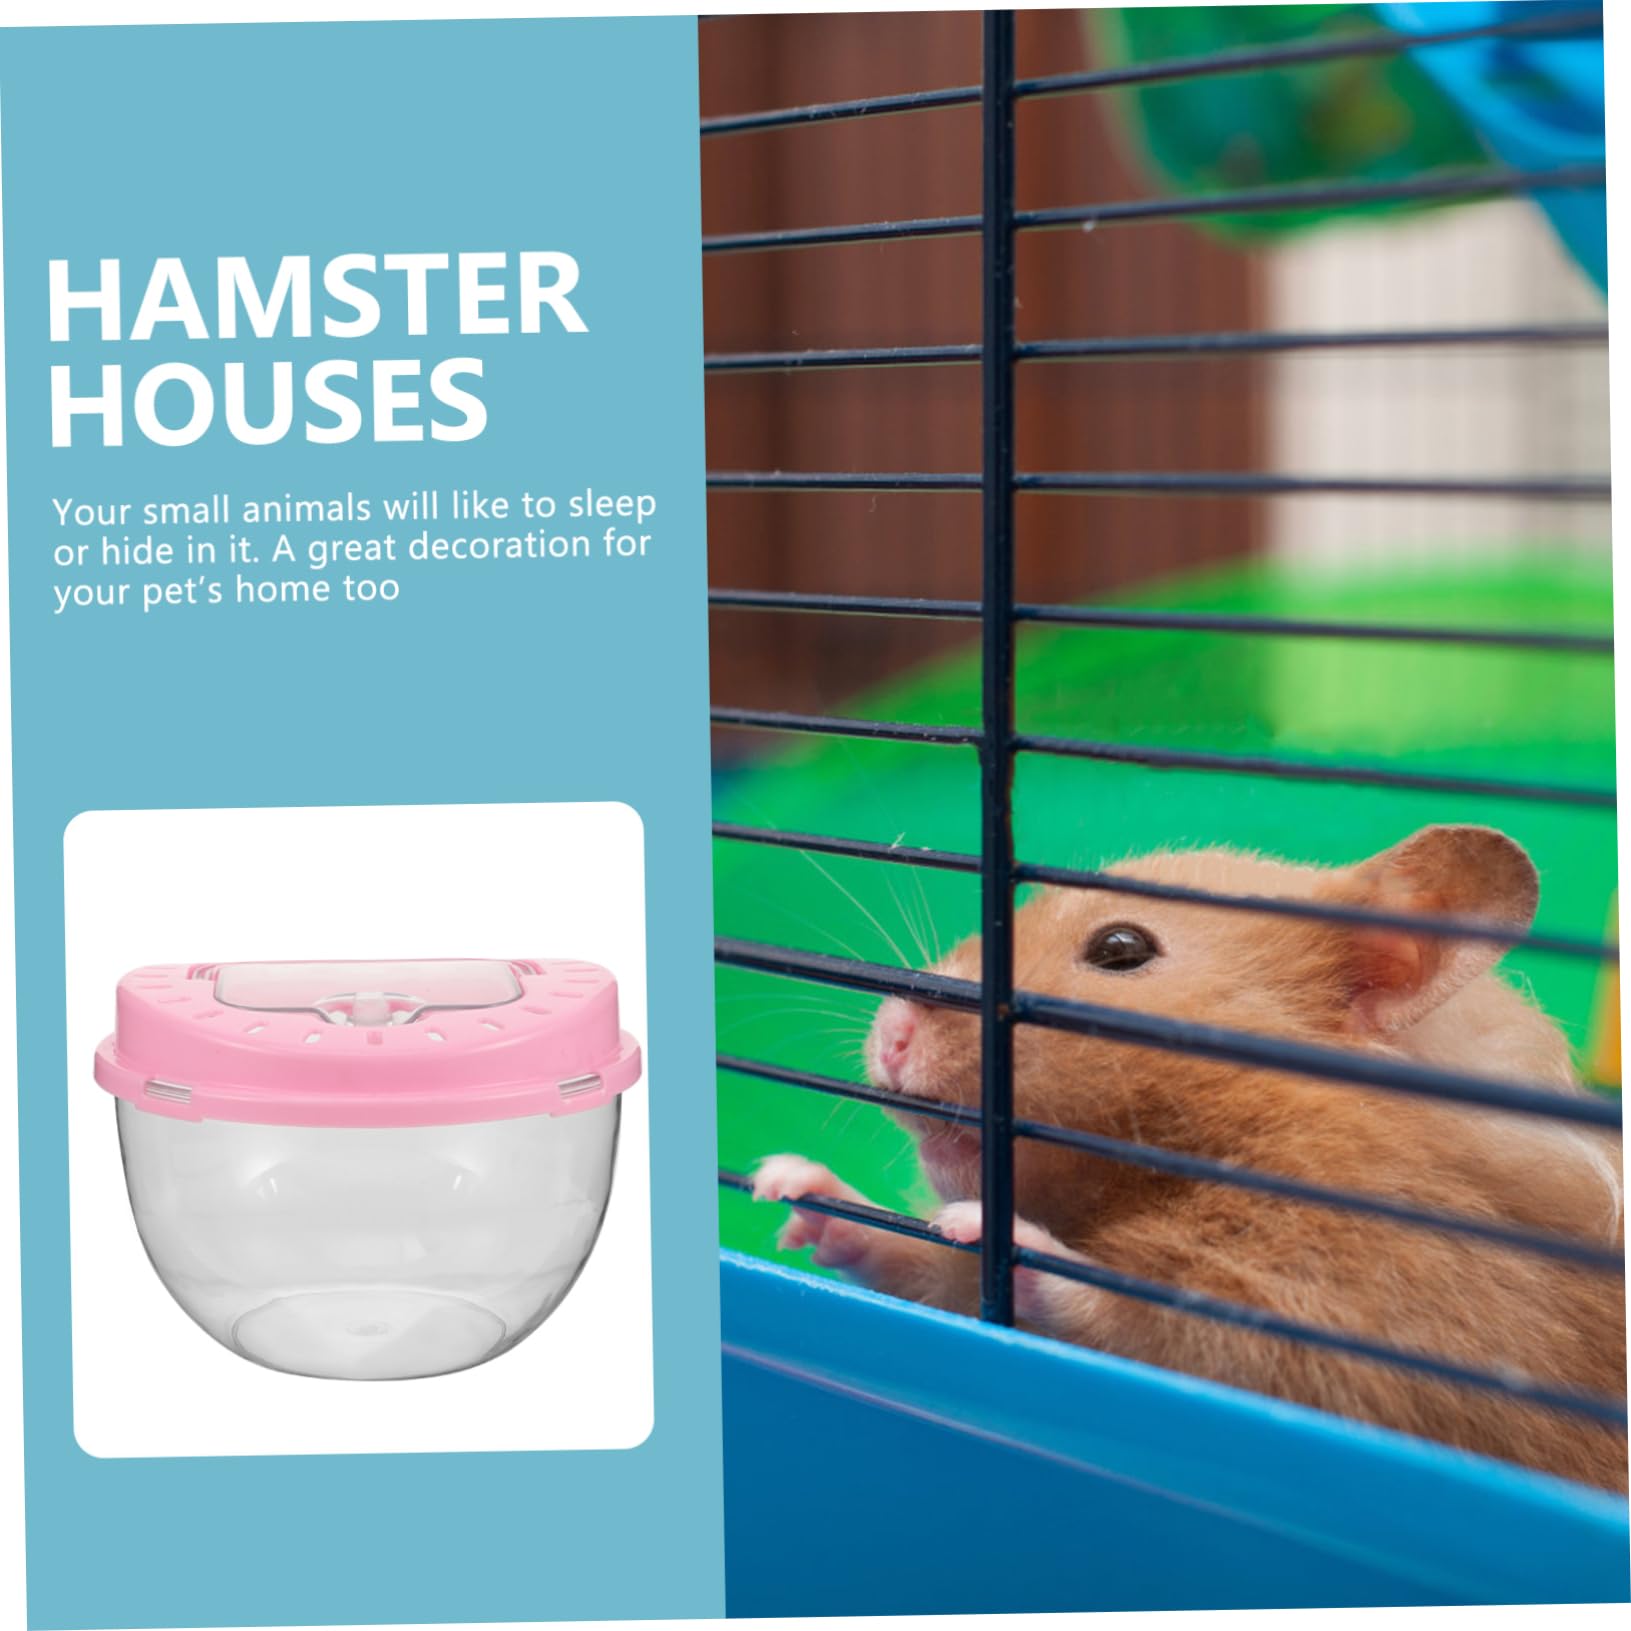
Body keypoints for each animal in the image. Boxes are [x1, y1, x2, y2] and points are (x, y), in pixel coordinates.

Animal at [753, 824, 1628, 1490]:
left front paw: (985, 1228)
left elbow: (1146, 1321)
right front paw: (787, 1184)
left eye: (1120, 948)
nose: (890, 1032)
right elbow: (918, 1263)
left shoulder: (1368, 1317)